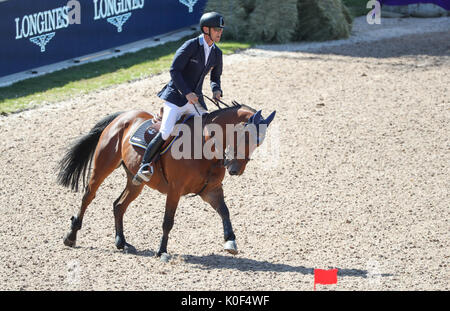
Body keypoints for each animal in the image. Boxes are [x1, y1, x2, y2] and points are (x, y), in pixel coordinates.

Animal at [58, 102, 276, 260]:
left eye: (259, 142)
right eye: (246, 137)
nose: (235, 169)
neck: (204, 146)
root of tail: (123, 116)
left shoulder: (211, 190)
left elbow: (225, 211)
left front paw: (230, 242)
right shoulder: (175, 190)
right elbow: (167, 222)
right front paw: (162, 251)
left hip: (136, 181)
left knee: (119, 205)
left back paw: (121, 242)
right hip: (102, 167)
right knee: (88, 196)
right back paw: (71, 236)